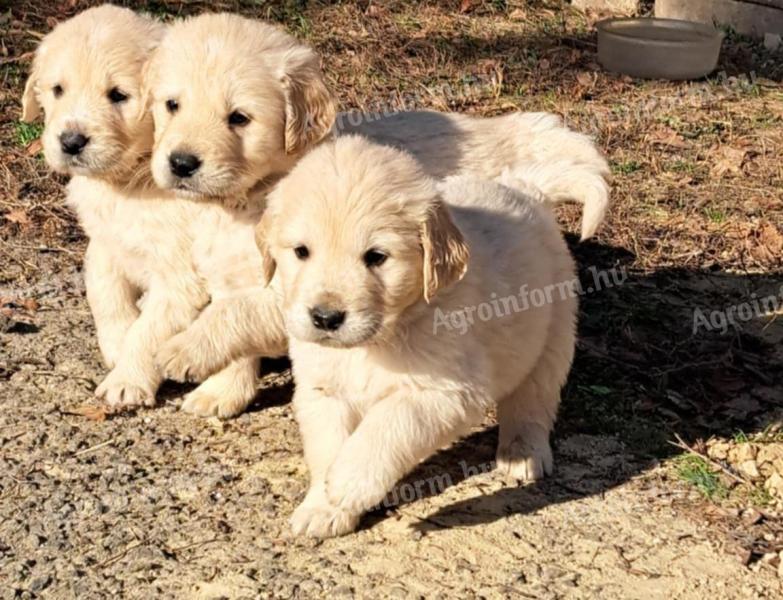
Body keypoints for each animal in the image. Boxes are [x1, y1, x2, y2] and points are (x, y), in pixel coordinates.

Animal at [21, 5, 282, 418]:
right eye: (58, 90)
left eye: (119, 95)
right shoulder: (105, 242)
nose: (71, 141)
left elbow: (149, 331)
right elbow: (103, 294)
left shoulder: (181, 278)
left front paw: (127, 380)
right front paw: (116, 344)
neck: (134, 182)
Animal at [150, 12, 608, 408]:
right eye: (172, 105)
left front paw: (183, 350)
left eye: (239, 118)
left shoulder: (291, 293)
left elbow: (235, 313)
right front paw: (221, 392)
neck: (247, 200)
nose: (181, 163)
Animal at [254, 137, 580, 540]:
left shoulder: (443, 392)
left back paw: (523, 453)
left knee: (533, 401)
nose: (326, 318)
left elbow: (384, 431)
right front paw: (323, 507)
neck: (375, 342)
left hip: (553, 334)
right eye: (301, 251)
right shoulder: (324, 390)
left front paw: (347, 483)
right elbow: (329, 445)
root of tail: (522, 189)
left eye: (376, 257)